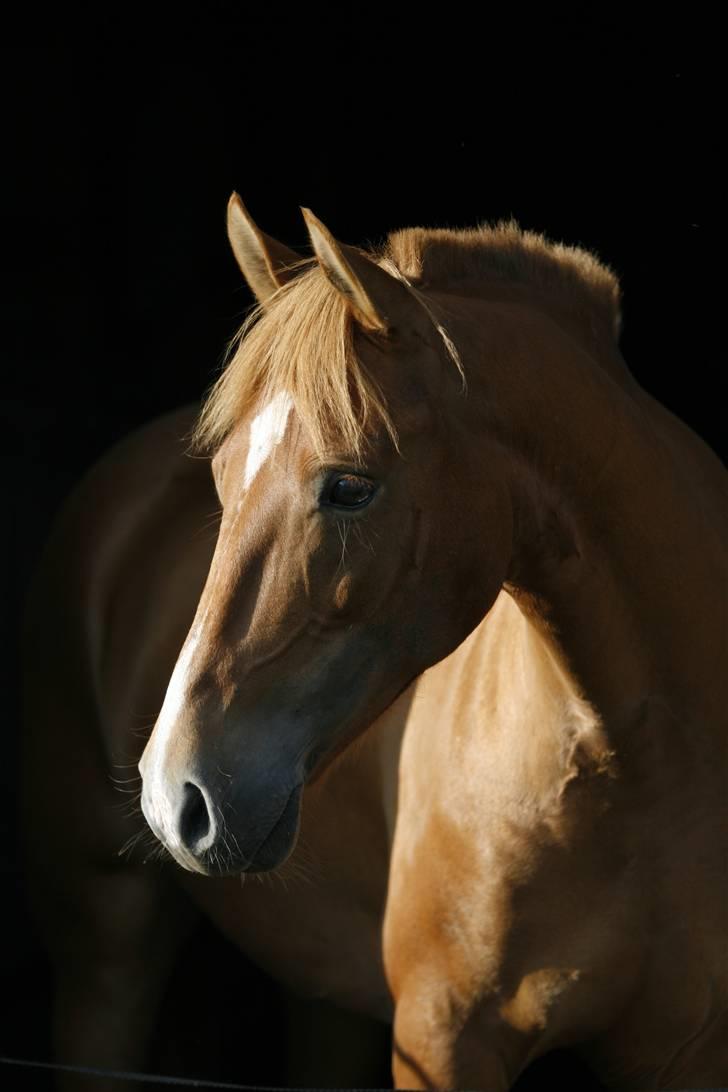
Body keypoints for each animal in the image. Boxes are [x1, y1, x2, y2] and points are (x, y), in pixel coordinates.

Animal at [22, 192, 728, 1087]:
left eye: (350, 488)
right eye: (220, 479)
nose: (172, 794)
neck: (642, 775)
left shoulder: (690, 1053)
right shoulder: (441, 1039)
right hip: (105, 955)